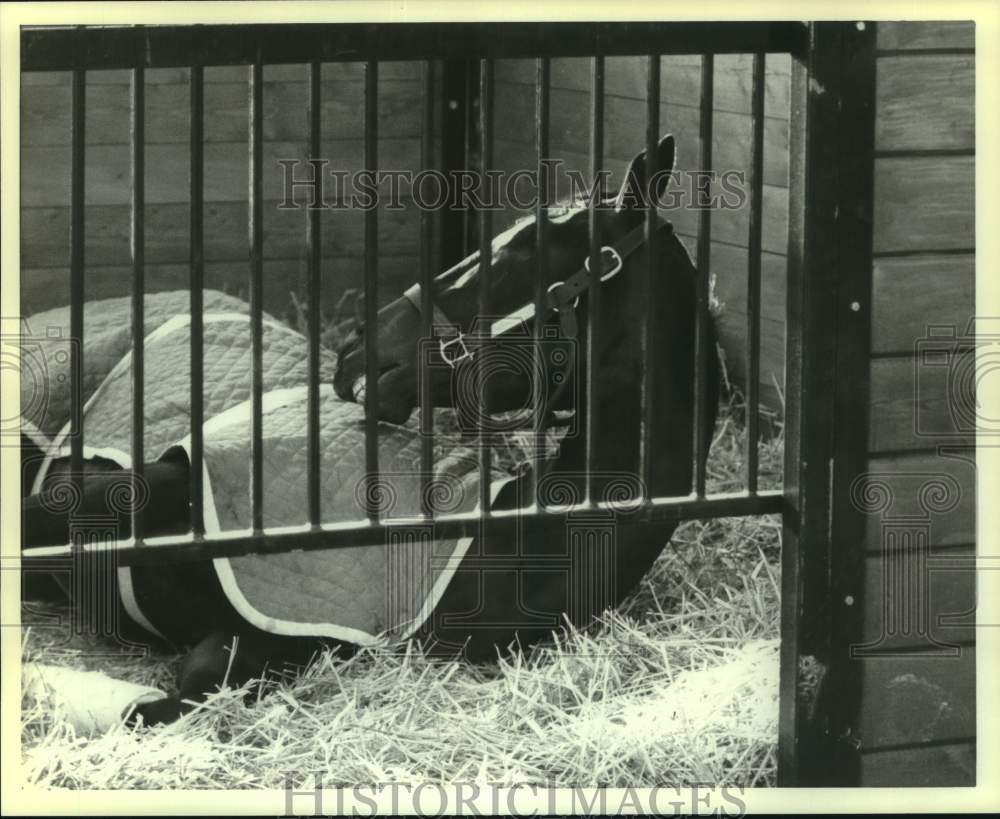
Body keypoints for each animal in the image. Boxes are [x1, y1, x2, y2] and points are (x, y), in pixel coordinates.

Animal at [19, 133, 716, 724]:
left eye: (521, 252)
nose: (357, 351)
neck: (500, 542)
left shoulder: (278, 639)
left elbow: (167, 703)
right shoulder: (168, 478)